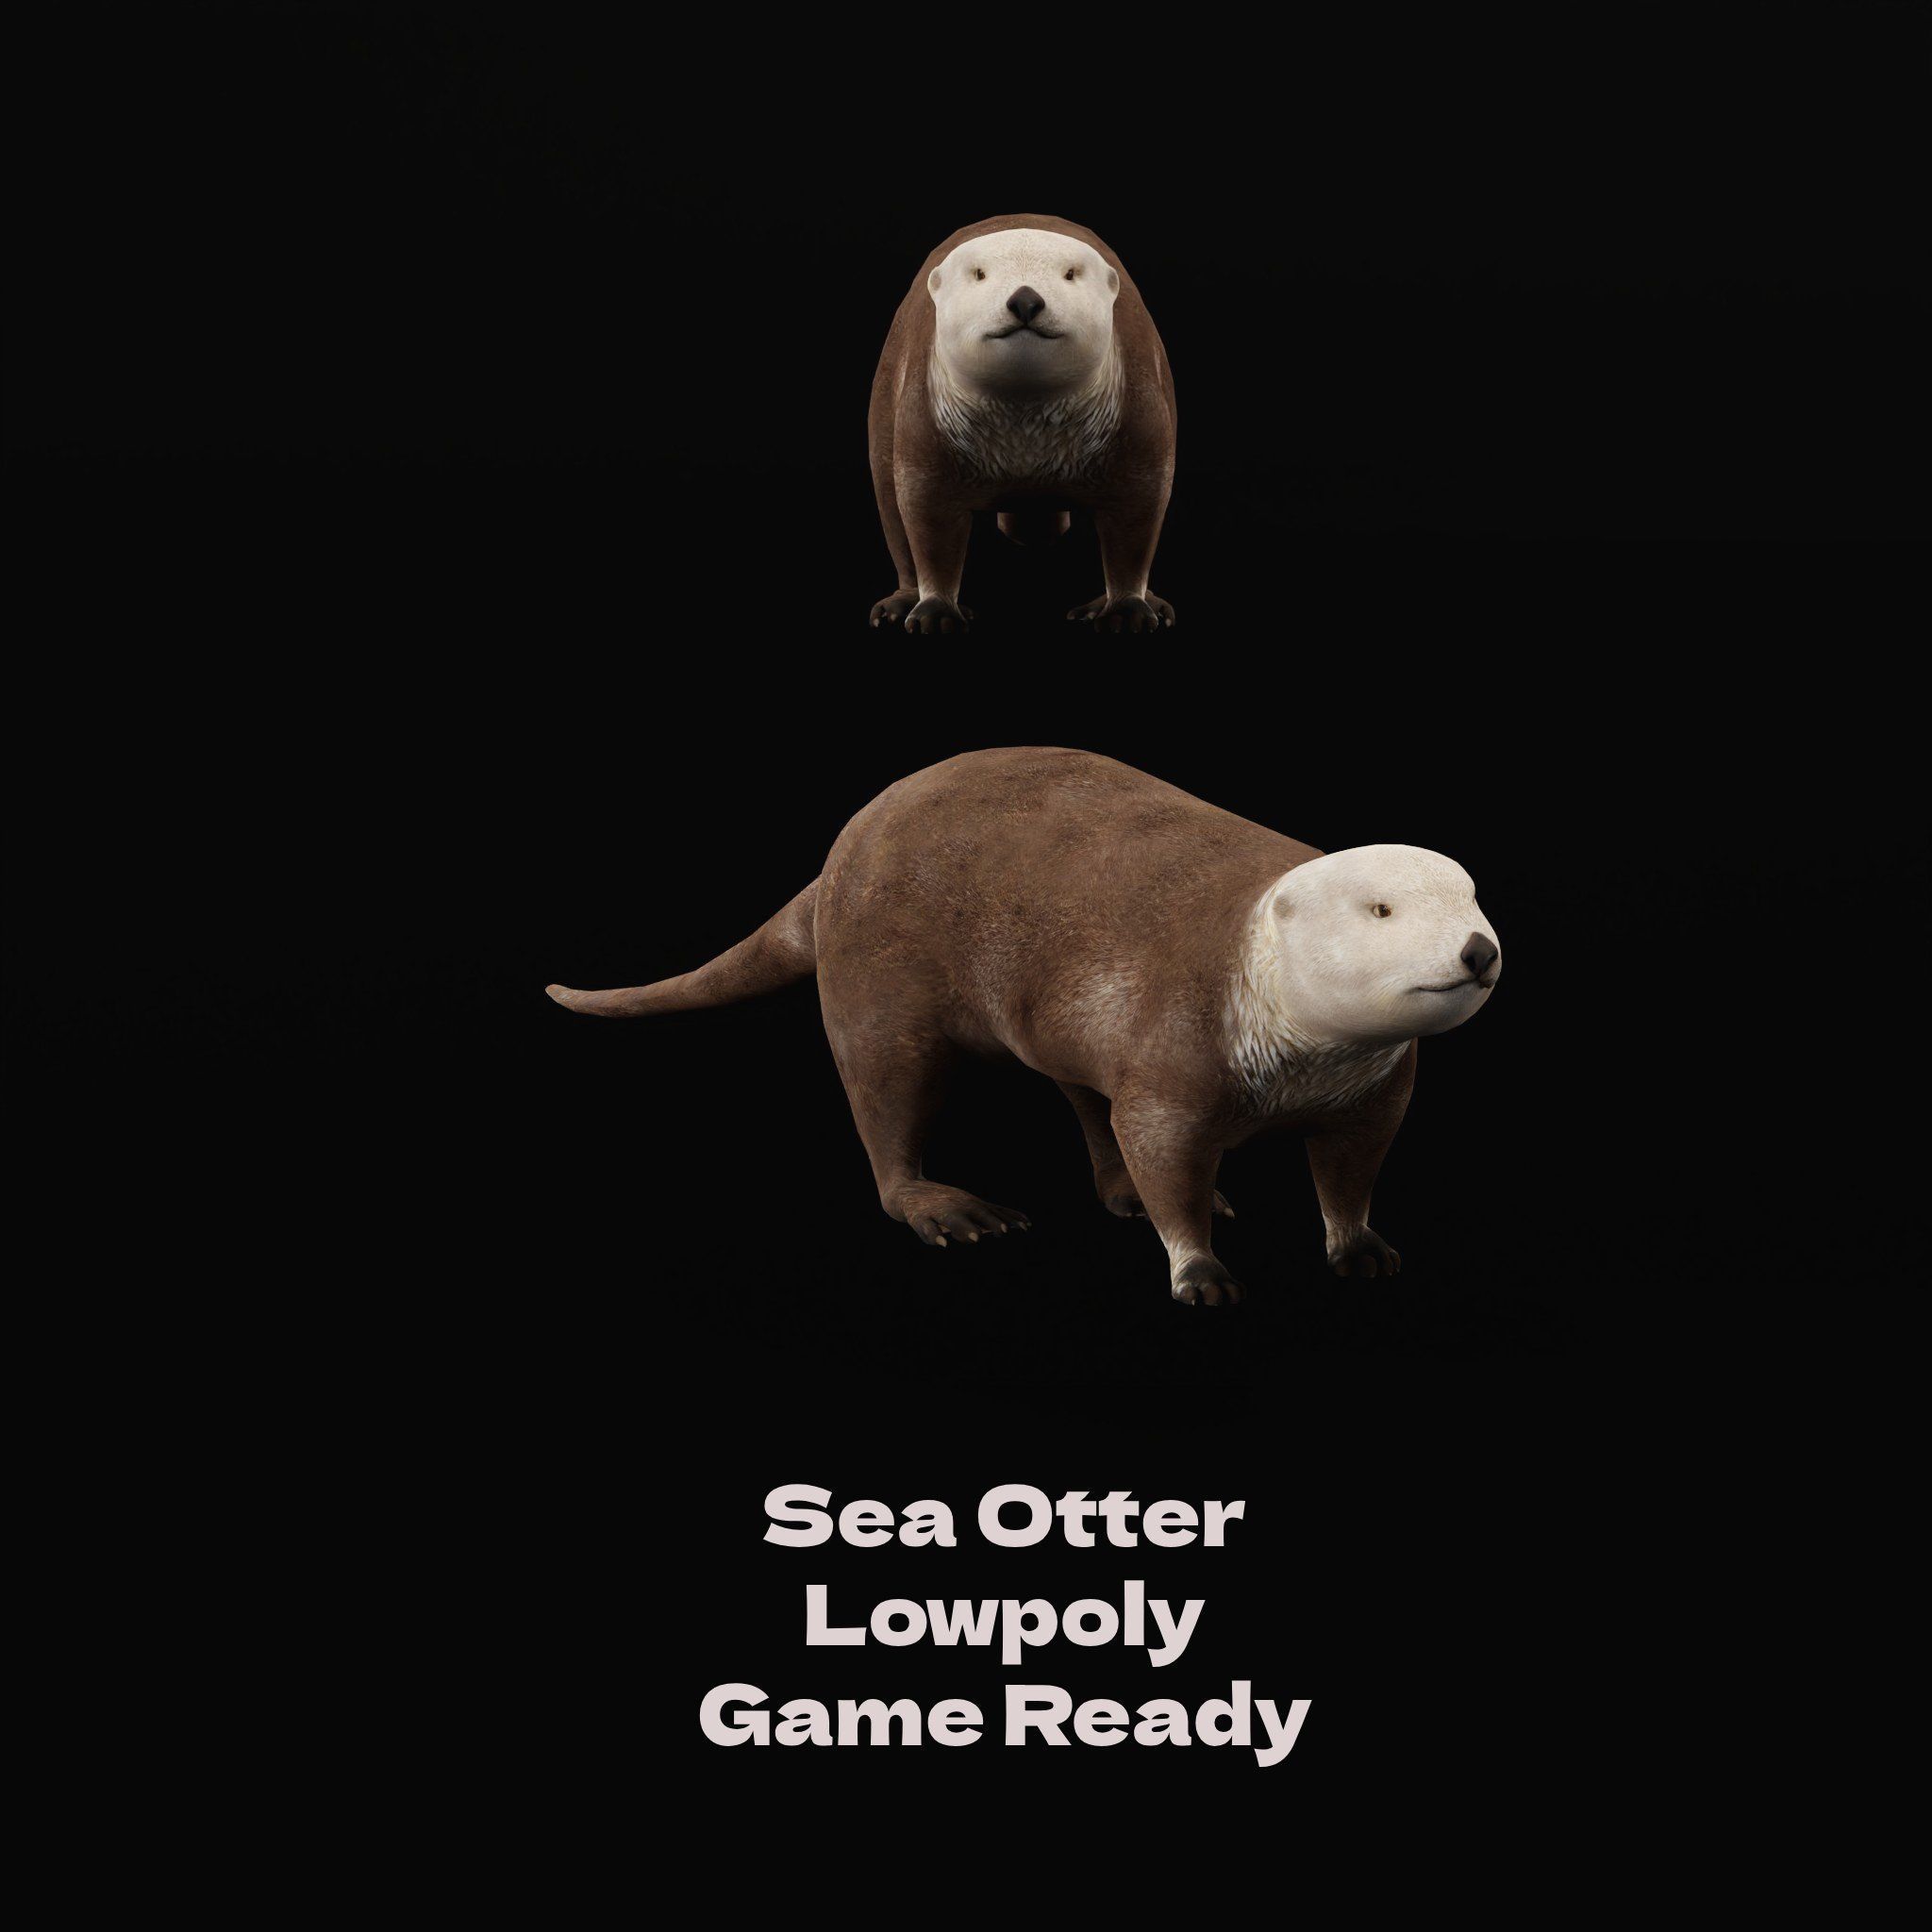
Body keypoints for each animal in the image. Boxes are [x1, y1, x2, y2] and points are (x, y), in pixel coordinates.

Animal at [547, 750, 1501, 1306]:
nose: (1478, 949)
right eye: (1381, 909)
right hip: (875, 978)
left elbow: (1349, 1172)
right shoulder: (1176, 1047)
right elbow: (1165, 1159)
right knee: (885, 1108)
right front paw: (1198, 1269)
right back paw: (950, 1210)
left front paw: (1361, 1246)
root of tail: (837, 860)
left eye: (1471, 897)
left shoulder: (1377, 1090)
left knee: (1084, 1106)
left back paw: (1114, 1194)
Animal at [867, 216, 1176, 635]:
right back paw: (899, 603)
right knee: (893, 515)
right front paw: (935, 610)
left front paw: (1128, 610)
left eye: (1070, 273)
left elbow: (1137, 516)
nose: (1025, 299)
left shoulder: (1138, 410)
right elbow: (928, 519)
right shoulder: (923, 419)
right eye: (979, 273)